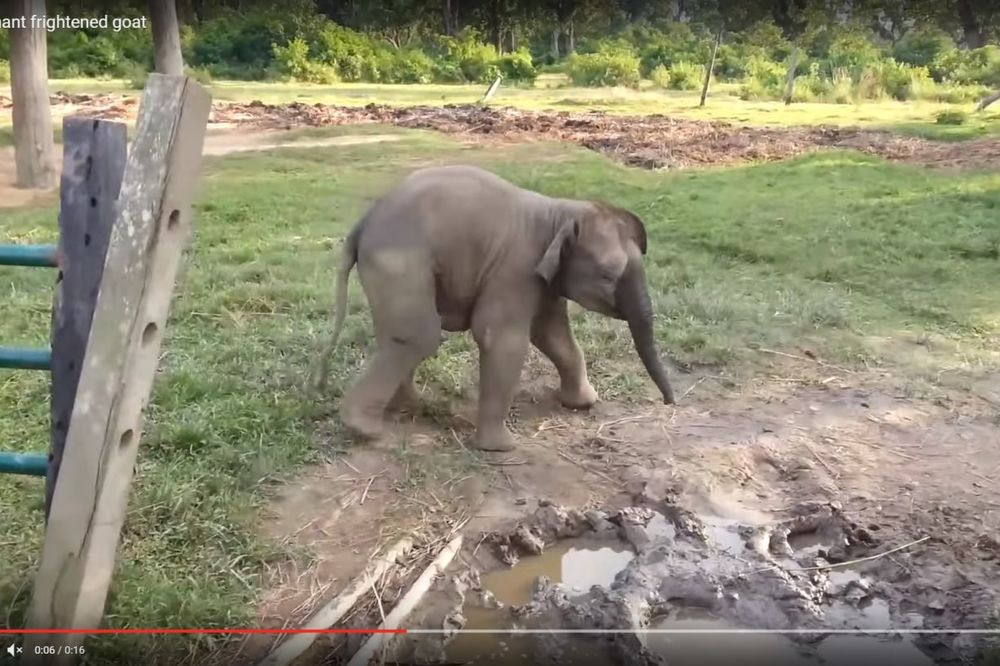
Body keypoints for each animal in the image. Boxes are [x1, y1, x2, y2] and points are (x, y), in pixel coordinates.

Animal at [318, 163, 680, 448]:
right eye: (608, 276)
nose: (670, 402)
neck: (560, 212)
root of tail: (363, 223)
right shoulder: (515, 268)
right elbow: (502, 338)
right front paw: (503, 448)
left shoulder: (544, 280)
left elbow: (552, 335)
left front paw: (584, 403)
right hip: (401, 262)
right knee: (418, 335)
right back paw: (366, 430)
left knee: (396, 334)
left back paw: (410, 407)